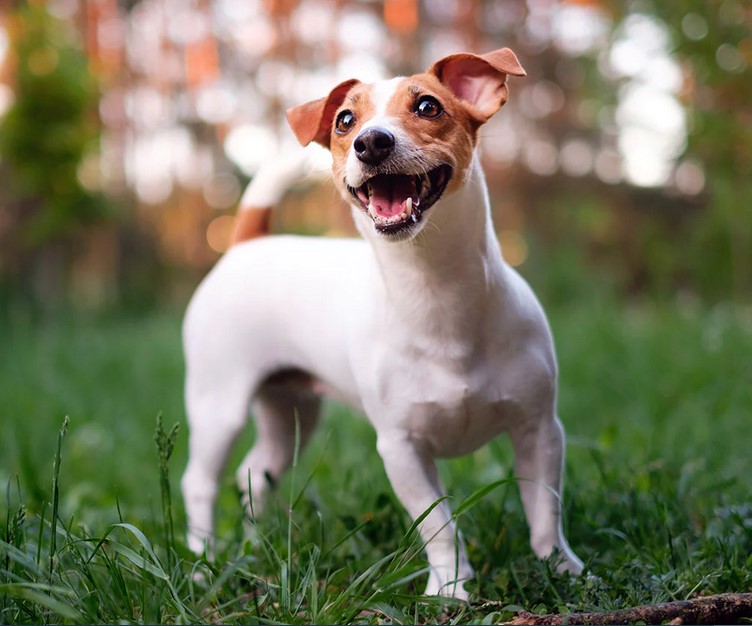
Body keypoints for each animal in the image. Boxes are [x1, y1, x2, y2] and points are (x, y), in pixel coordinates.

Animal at [181, 47, 580, 596]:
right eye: (346, 120)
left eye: (429, 106)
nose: (371, 141)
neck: (436, 292)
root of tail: (247, 241)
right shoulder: (401, 448)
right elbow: (439, 525)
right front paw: (450, 588)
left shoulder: (539, 429)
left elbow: (544, 508)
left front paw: (558, 568)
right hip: (219, 405)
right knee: (199, 482)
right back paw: (203, 562)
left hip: (291, 410)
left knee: (255, 473)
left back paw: (255, 545)